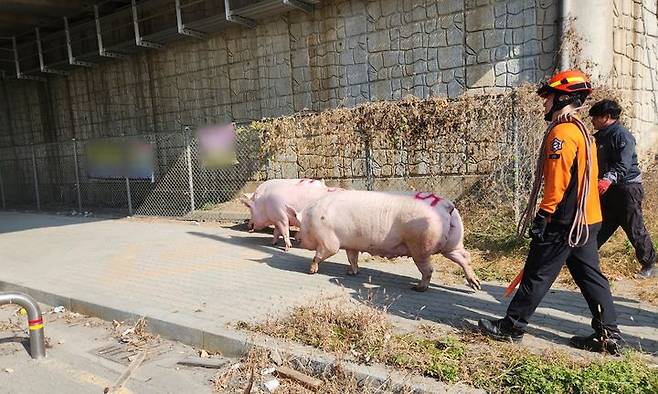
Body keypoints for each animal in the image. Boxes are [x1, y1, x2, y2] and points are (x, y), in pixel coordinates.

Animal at [284, 191, 480, 292]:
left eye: (300, 225)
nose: (297, 239)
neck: (313, 220)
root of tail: (445, 206)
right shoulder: (352, 244)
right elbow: (352, 258)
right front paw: (351, 273)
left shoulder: (329, 241)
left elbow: (321, 254)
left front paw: (310, 271)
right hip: (453, 243)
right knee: (465, 257)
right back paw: (476, 285)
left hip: (420, 246)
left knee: (429, 269)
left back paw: (418, 288)